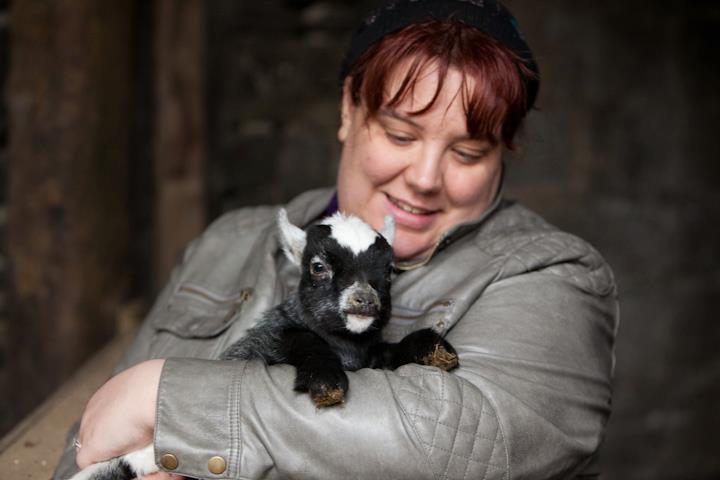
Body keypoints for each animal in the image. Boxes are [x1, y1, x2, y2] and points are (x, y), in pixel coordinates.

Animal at [70, 209, 458, 480]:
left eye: (389, 271)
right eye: (318, 266)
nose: (364, 299)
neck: (346, 345)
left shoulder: (373, 354)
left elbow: (395, 349)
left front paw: (436, 349)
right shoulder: (267, 342)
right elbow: (300, 339)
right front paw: (326, 382)